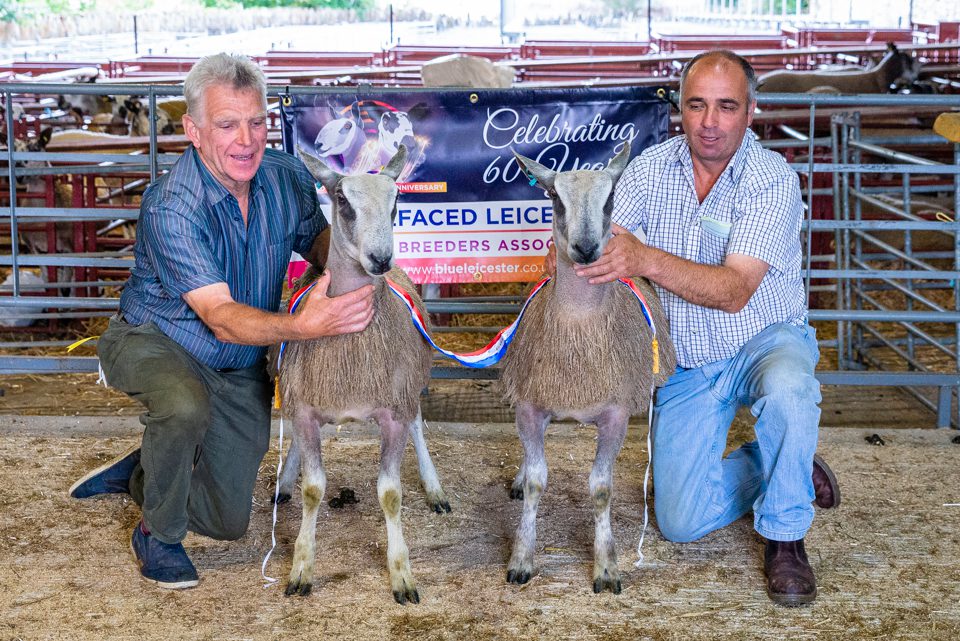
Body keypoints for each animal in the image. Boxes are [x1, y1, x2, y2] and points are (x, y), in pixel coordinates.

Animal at [274, 142, 446, 604]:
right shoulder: (305, 409)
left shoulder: (393, 411)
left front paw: (401, 573)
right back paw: (284, 480)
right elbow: (313, 489)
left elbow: (390, 493)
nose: (381, 259)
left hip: (411, 384)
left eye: (397, 200)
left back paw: (435, 488)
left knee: (419, 424)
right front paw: (301, 566)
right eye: (343, 200)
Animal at [498, 142, 680, 592]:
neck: (579, 326)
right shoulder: (531, 404)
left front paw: (606, 566)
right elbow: (536, 482)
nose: (584, 247)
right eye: (554, 197)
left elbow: (601, 490)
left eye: (610, 196)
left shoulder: (615, 414)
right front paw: (522, 558)